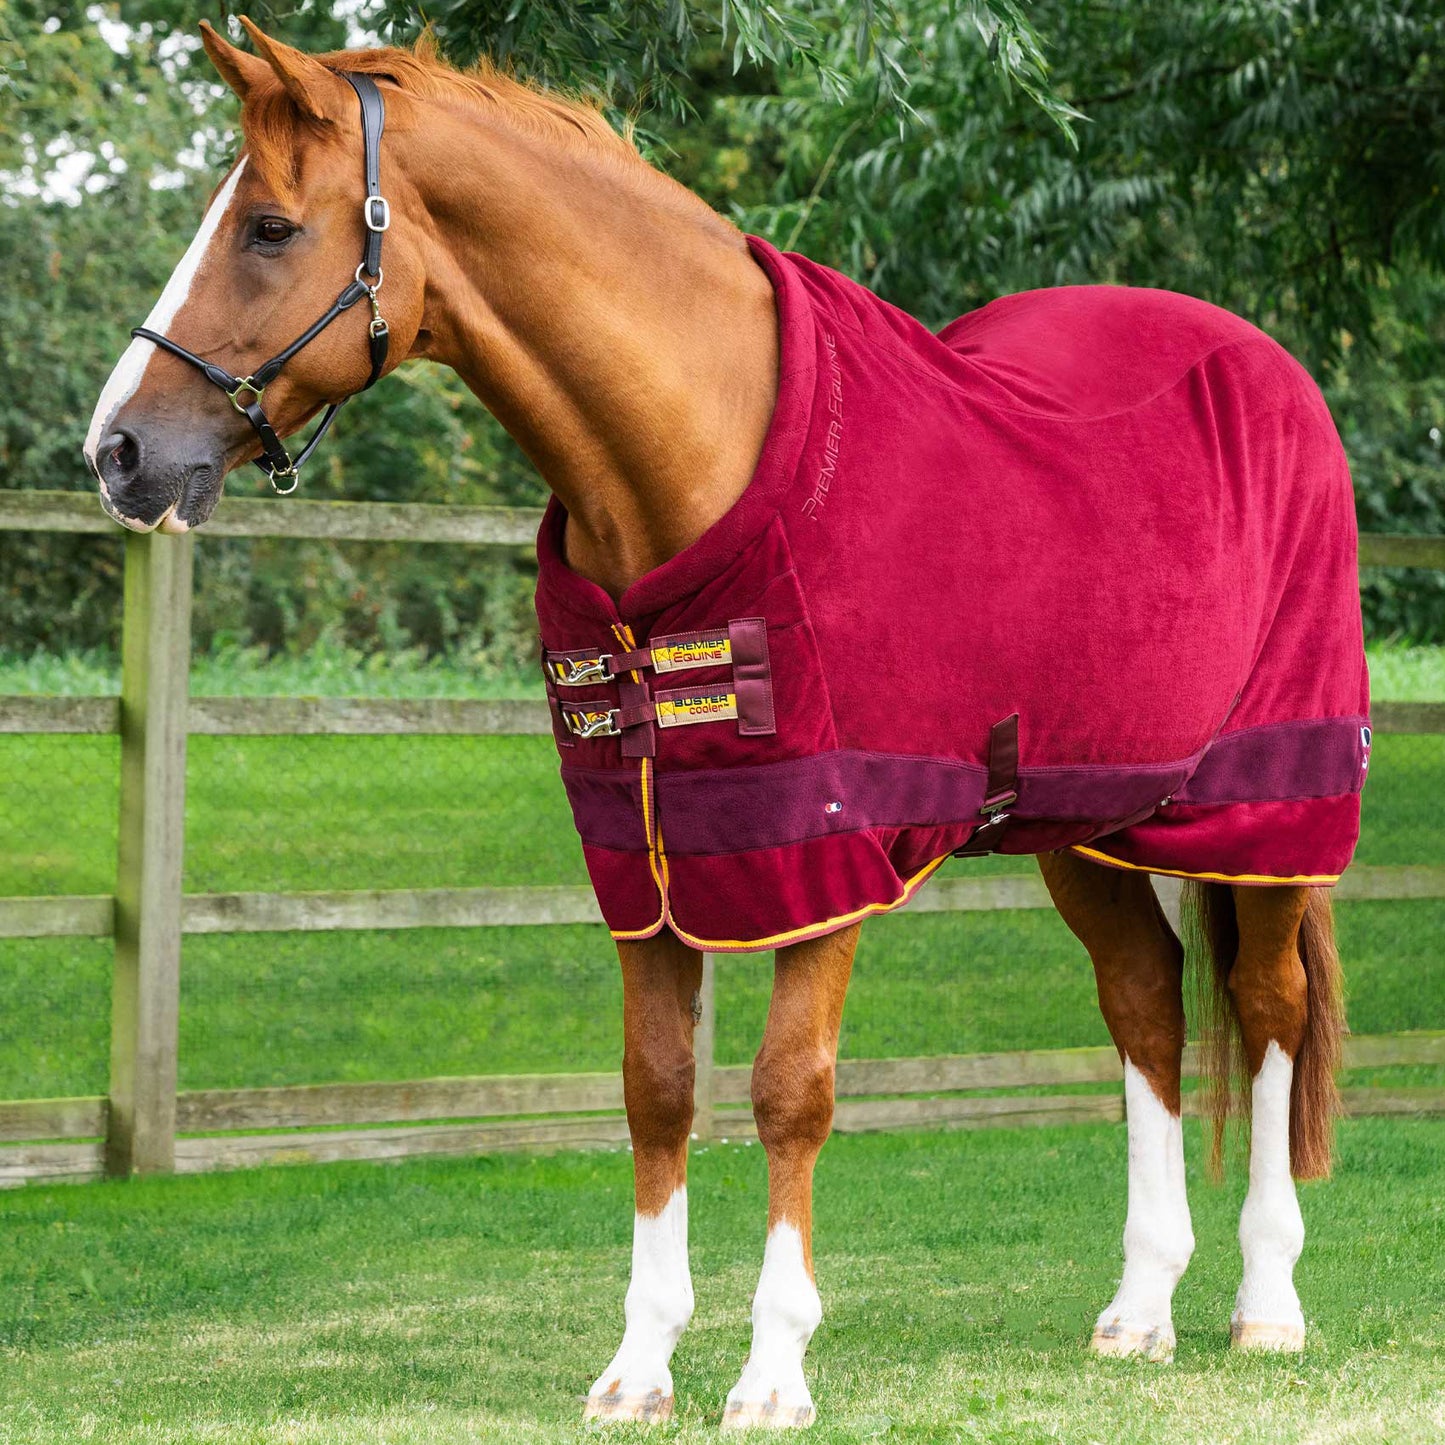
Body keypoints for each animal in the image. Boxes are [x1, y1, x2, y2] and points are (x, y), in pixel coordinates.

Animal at [86, 21, 1365, 1429]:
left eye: (267, 226)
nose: (119, 450)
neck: (692, 452)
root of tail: (1267, 368)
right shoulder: (647, 858)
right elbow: (656, 1089)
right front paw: (637, 1367)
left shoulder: (823, 849)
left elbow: (786, 1091)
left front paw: (771, 1371)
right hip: (1080, 820)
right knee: (1144, 1000)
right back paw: (1140, 1307)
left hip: (1265, 805)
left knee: (1266, 1005)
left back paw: (1266, 1301)